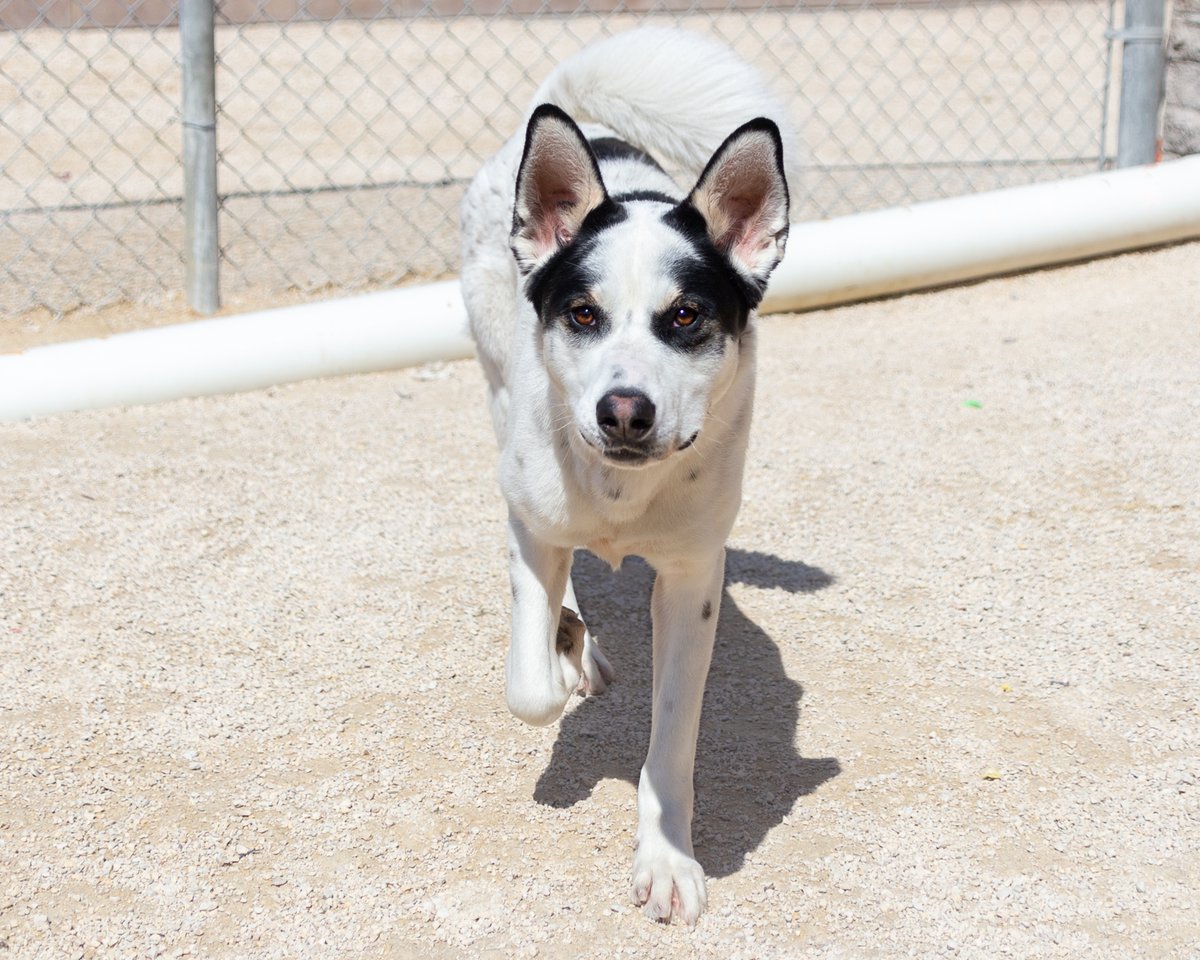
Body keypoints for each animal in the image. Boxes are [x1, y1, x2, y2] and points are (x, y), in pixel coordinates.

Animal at [458, 28, 796, 931]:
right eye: (583, 313)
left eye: (685, 316)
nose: (623, 412)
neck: (619, 492)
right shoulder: (528, 524)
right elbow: (529, 688)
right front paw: (564, 648)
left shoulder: (691, 579)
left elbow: (672, 743)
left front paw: (667, 858)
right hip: (494, 385)